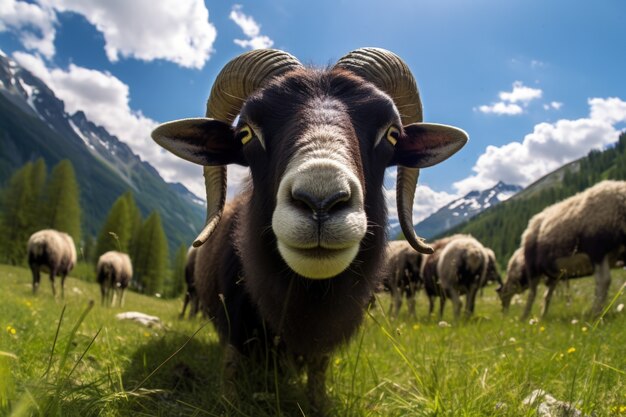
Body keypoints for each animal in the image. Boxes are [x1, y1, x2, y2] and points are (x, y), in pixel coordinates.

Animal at [149, 47, 466, 408]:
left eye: (391, 134)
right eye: (246, 133)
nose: (321, 201)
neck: (308, 295)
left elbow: (318, 372)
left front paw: (317, 402)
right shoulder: (235, 324)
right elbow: (230, 368)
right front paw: (229, 402)